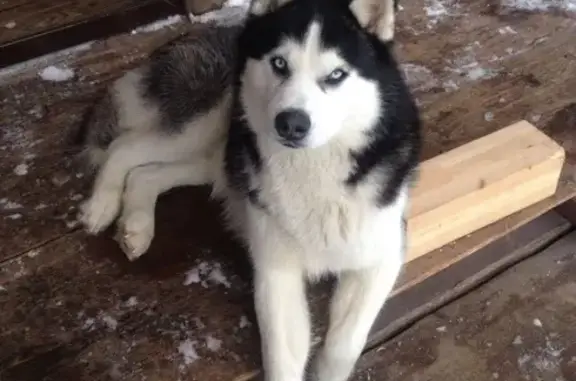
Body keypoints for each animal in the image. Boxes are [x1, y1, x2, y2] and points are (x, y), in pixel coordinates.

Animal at [76, 0, 420, 378]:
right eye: (279, 63)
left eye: (336, 75)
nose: (291, 124)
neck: (312, 167)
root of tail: (202, 33)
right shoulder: (275, 270)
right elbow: (284, 358)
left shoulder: (382, 254)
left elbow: (344, 344)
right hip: (205, 122)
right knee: (123, 148)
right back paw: (101, 206)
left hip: (218, 156)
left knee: (147, 174)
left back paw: (136, 227)